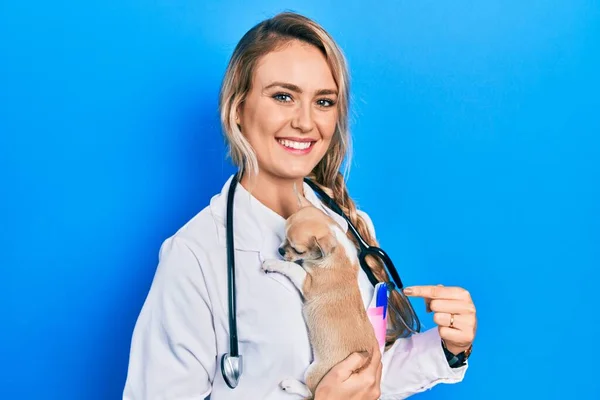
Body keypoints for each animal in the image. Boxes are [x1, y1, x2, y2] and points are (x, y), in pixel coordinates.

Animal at [262, 205, 378, 398]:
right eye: (284, 236)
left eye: (298, 250)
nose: (280, 250)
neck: (337, 249)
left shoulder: (308, 284)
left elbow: (292, 267)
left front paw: (273, 263)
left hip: (313, 372)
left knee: (311, 392)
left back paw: (292, 385)